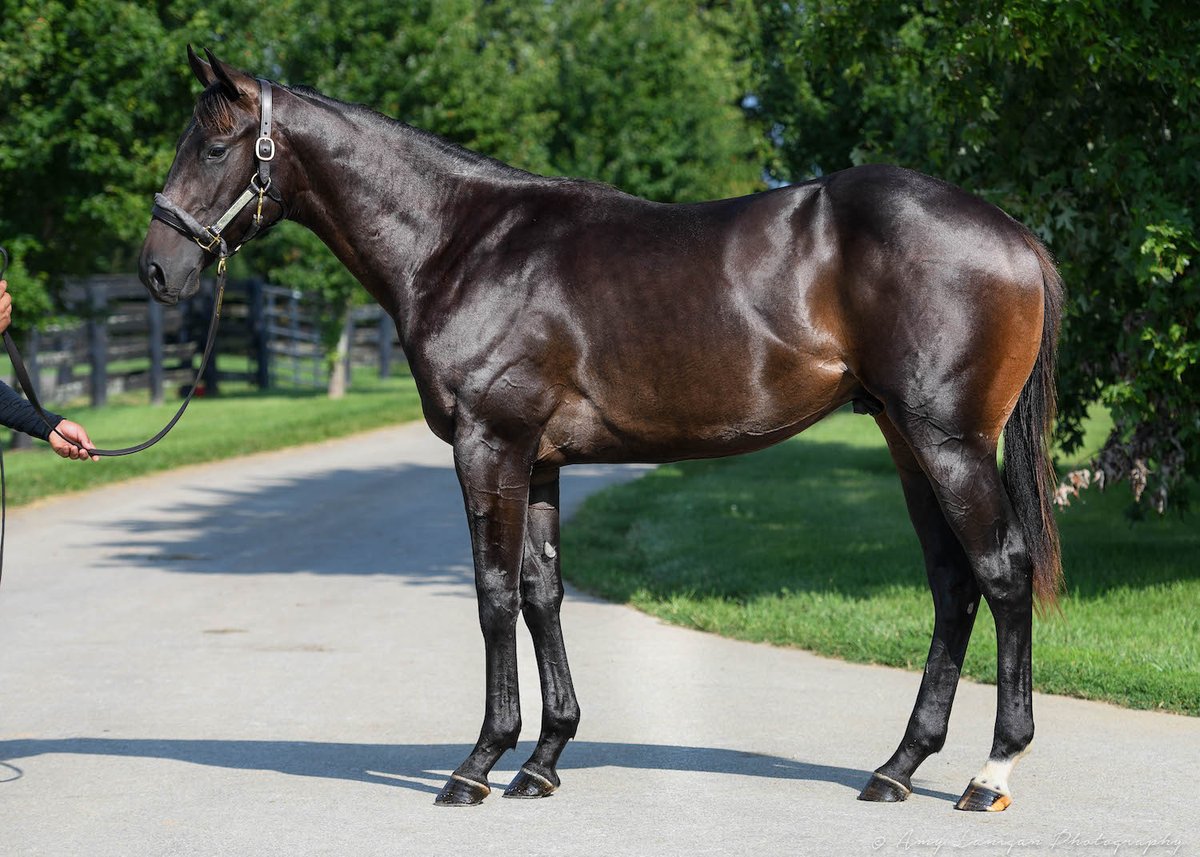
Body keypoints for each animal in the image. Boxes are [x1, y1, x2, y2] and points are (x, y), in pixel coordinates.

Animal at [136, 50, 1065, 811]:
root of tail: (1015, 234)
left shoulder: (488, 445)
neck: (461, 242)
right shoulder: (539, 459)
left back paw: (990, 771)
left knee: (1001, 572)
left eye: (213, 148)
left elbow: (493, 593)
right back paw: (899, 766)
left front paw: (478, 763)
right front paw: (543, 759)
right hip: (908, 445)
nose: (156, 268)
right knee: (952, 584)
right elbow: (542, 591)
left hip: (947, 443)